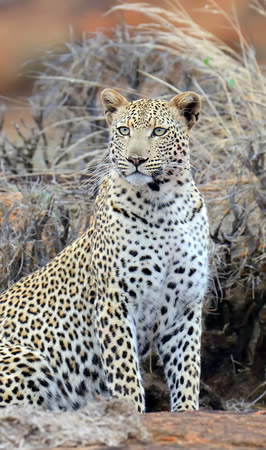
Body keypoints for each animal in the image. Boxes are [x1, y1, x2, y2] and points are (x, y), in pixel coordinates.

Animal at [0, 89, 209, 414]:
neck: (164, 204)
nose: (135, 159)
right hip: (26, 359)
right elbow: (125, 372)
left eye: (158, 131)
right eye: (123, 131)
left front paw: (187, 413)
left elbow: (187, 369)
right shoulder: (114, 300)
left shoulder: (186, 305)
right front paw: (130, 414)